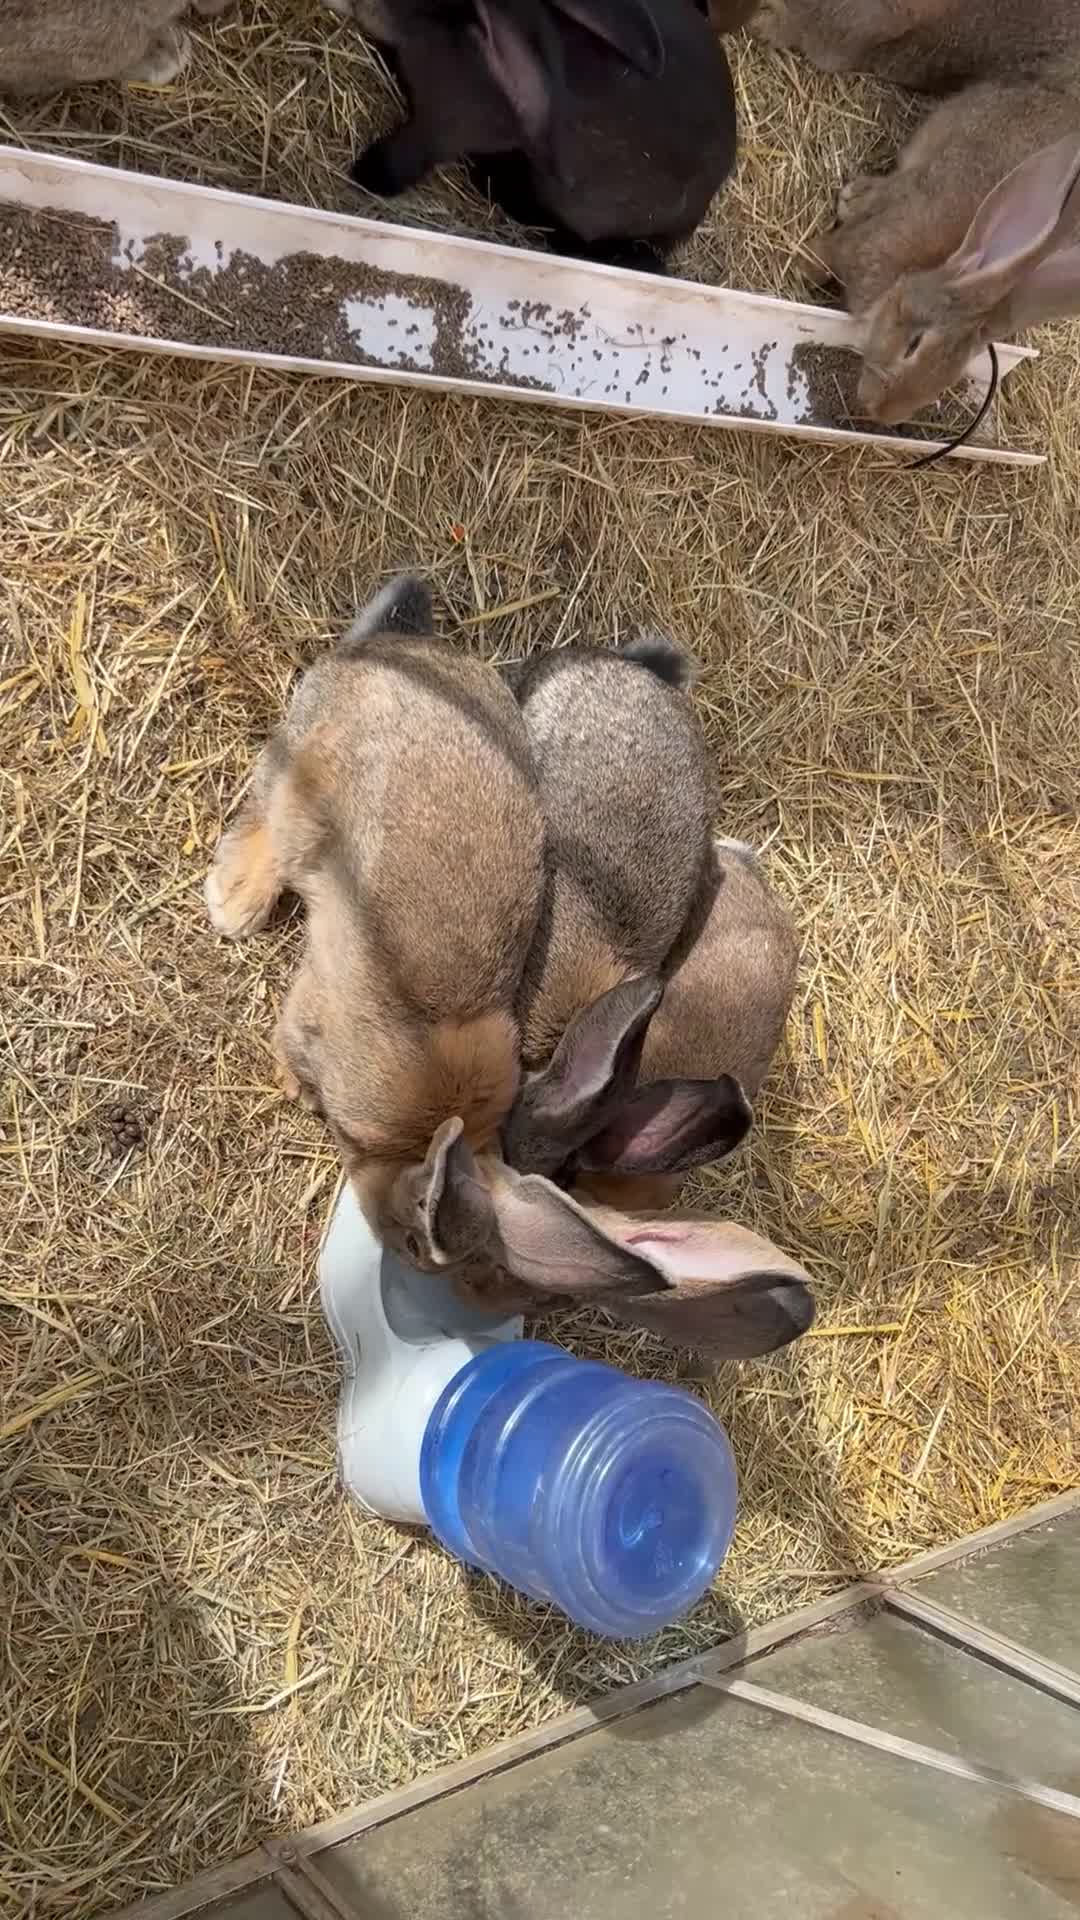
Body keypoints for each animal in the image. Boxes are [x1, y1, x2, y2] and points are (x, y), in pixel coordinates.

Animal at [204, 575, 546, 1263]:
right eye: (416, 1241)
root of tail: (388, 649)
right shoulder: (315, 1003)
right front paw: (292, 1084)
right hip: (300, 779)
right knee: (265, 814)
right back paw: (235, 902)